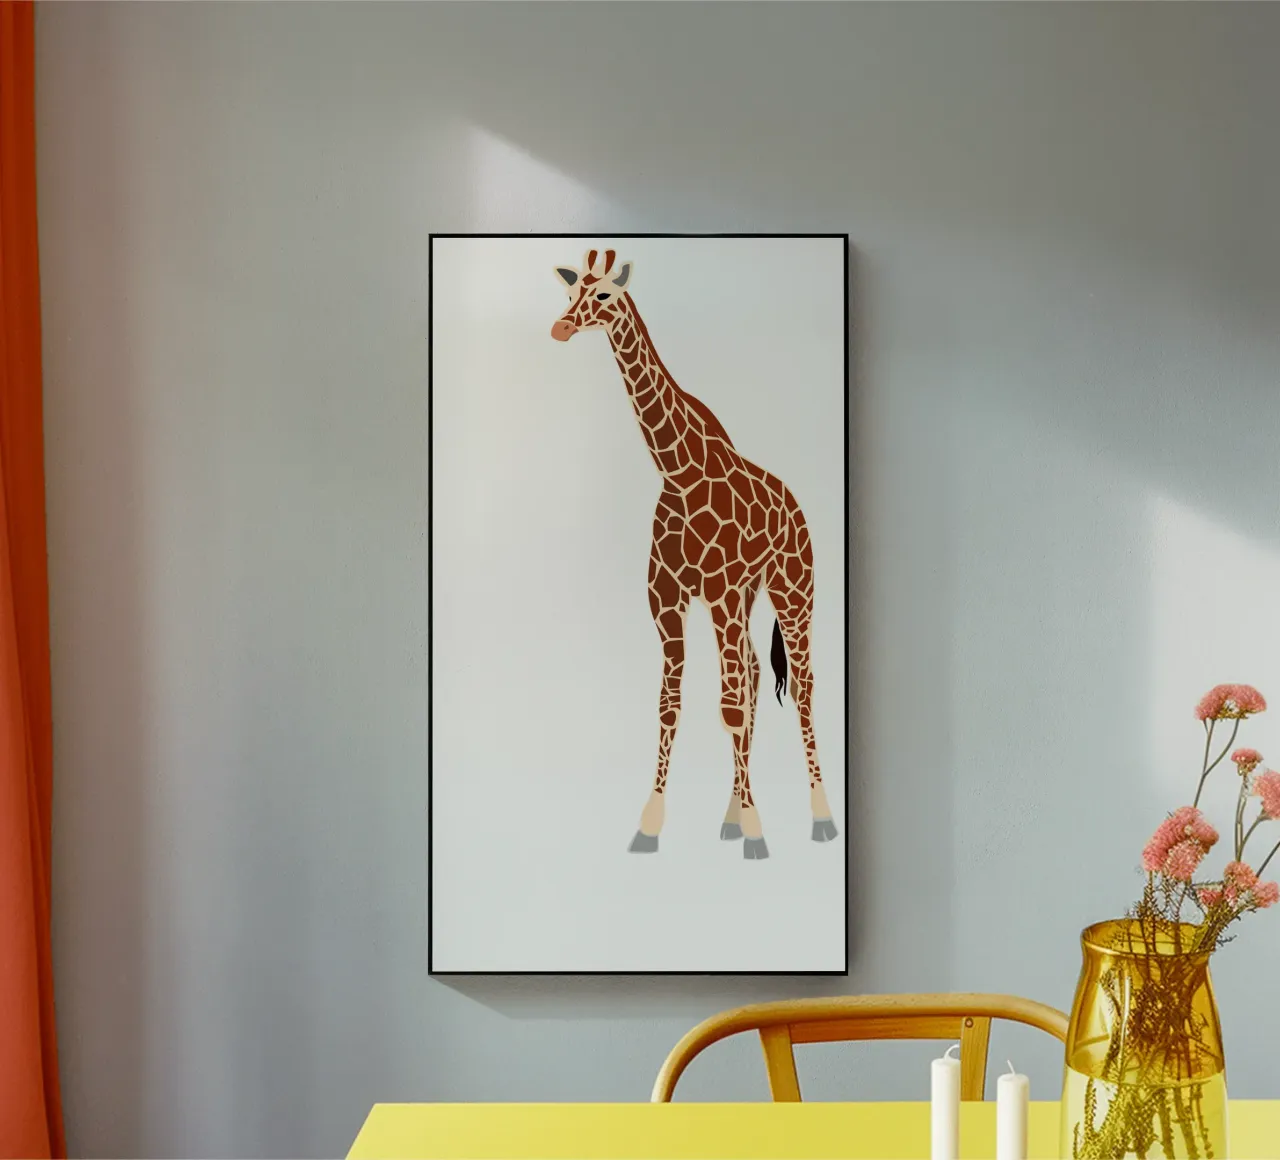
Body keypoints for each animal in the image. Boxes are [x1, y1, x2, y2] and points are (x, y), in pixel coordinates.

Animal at [550, 248, 837, 860]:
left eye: (604, 294)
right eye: (570, 291)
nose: (560, 327)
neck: (678, 473)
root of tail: (797, 505)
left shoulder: (721, 591)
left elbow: (729, 708)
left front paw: (757, 832)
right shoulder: (667, 599)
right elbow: (672, 704)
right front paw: (651, 825)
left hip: (792, 589)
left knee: (799, 686)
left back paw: (819, 817)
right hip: (746, 597)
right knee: (752, 672)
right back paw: (731, 814)